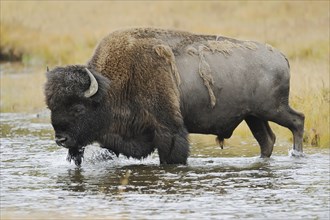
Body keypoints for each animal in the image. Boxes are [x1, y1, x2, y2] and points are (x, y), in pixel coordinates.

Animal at [43, 27, 304, 165]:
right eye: (51, 107)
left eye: (78, 108)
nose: (61, 139)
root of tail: (280, 56)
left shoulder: (168, 130)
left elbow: (172, 155)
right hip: (254, 116)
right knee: (267, 139)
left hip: (273, 109)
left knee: (297, 121)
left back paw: (297, 155)